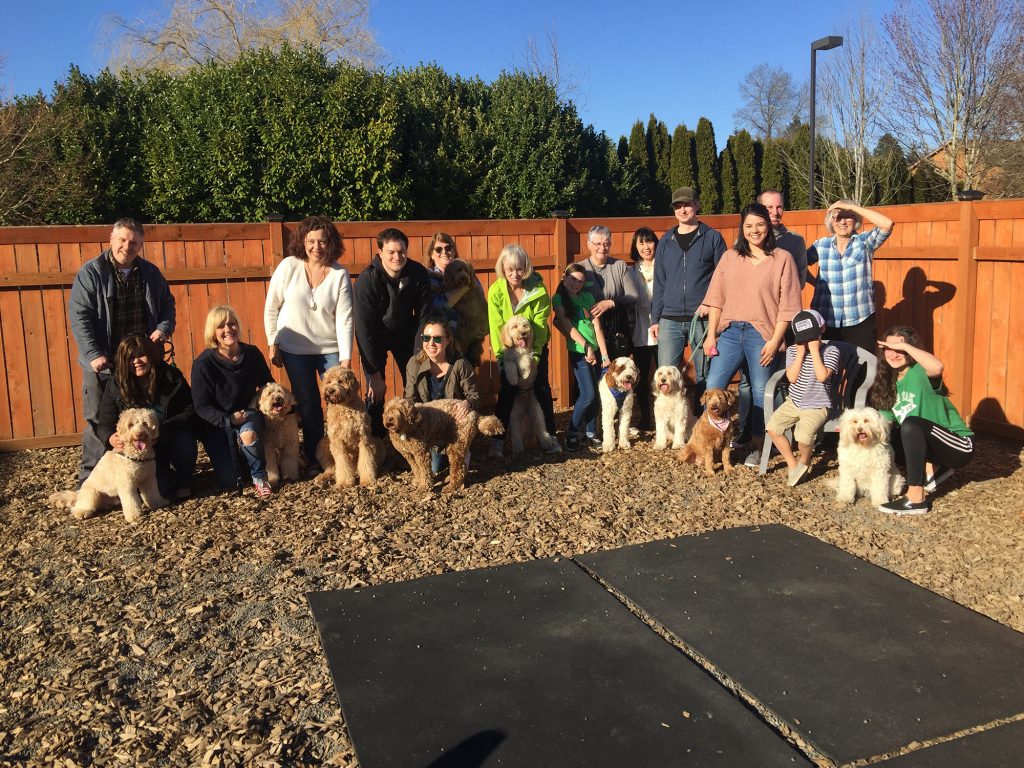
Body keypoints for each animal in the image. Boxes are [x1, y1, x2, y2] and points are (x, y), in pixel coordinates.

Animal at [497, 315, 561, 454]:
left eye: (525, 326)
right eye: (515, 327)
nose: (523, 333)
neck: (518, 349)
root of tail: (526, 409)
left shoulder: (531, 357)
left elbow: (525, 359)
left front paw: (524, 373)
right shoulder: (507, 360)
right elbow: (511, 365)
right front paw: (513, 379)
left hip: (537, 413)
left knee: (541, 429)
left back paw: (547, 442)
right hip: (515, 415)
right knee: (516, 433)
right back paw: (518, 448)